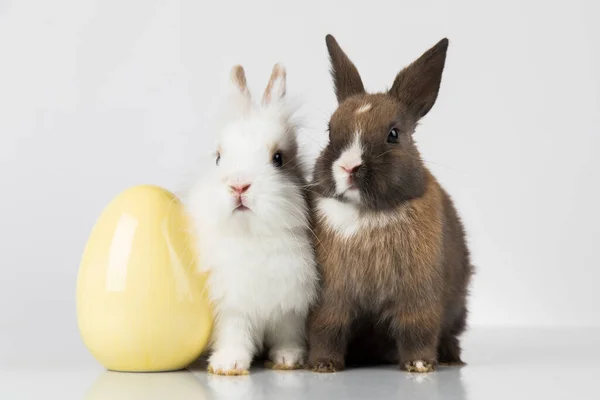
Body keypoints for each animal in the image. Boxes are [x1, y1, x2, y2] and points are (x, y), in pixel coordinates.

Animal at [186, 63, 318, 376]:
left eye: (278, 158)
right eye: (218, 158)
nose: (239, 185)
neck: (252, 236)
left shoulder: (291, 309)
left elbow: (287, 335)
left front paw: (288, 359)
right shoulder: (231, 307)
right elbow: (235, 334)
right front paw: (228, 365)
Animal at [310, 36, 474, 374]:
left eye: (394, 134)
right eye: (330, 131)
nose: (348, 167)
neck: (367, 213)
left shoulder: (418, 298)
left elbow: (417, 329)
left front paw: (419, 365)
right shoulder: (331, 299)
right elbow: (327, 329)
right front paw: (322, 366)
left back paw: (449, 359)